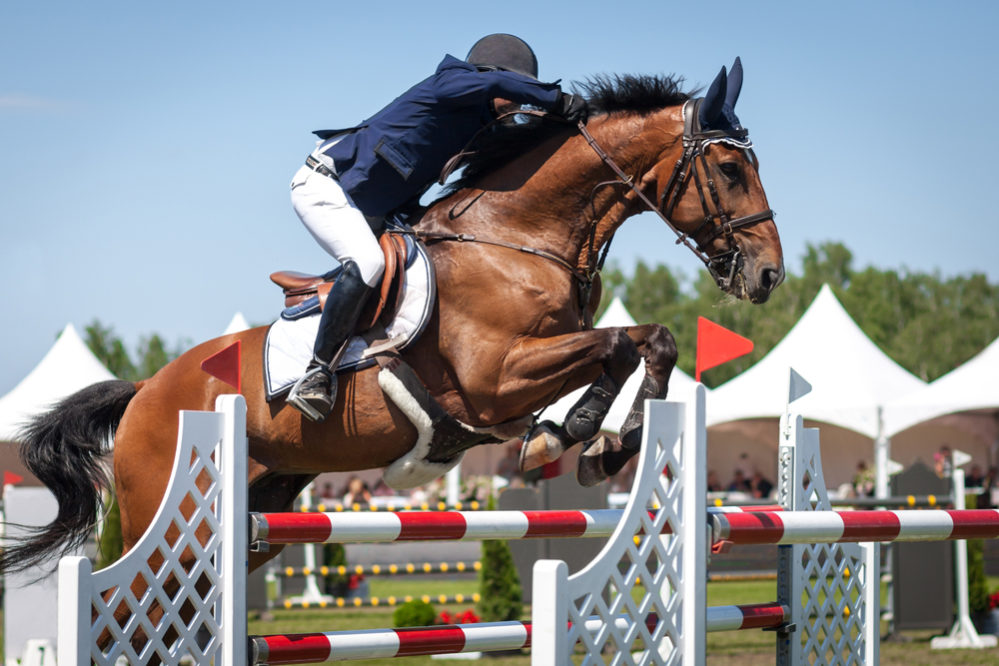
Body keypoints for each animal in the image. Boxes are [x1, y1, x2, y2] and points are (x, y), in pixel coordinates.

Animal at [1, 62, 780, 592]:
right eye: (729, 168)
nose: (768, 275)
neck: (517, 238)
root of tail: (144, 392)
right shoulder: (494, 379)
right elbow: (617, 345)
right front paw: (577, 437)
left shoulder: (530, 368)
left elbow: (652, 341)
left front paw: (603, 445)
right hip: (169, 519)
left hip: (262, 511)